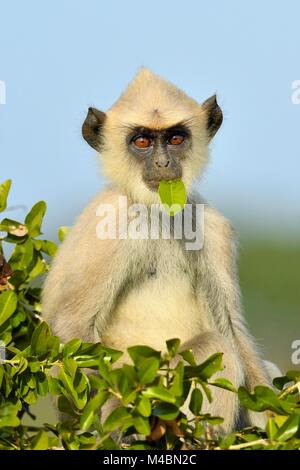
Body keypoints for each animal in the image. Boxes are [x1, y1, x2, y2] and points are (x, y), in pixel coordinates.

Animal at [41, 68, 278, 432]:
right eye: (142, 141)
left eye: (176, 139)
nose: (164, 163)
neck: (157, 213)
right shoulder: (111, 220)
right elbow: (71, 328)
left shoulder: (212, 228)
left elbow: (233, 331)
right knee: (214, 346)